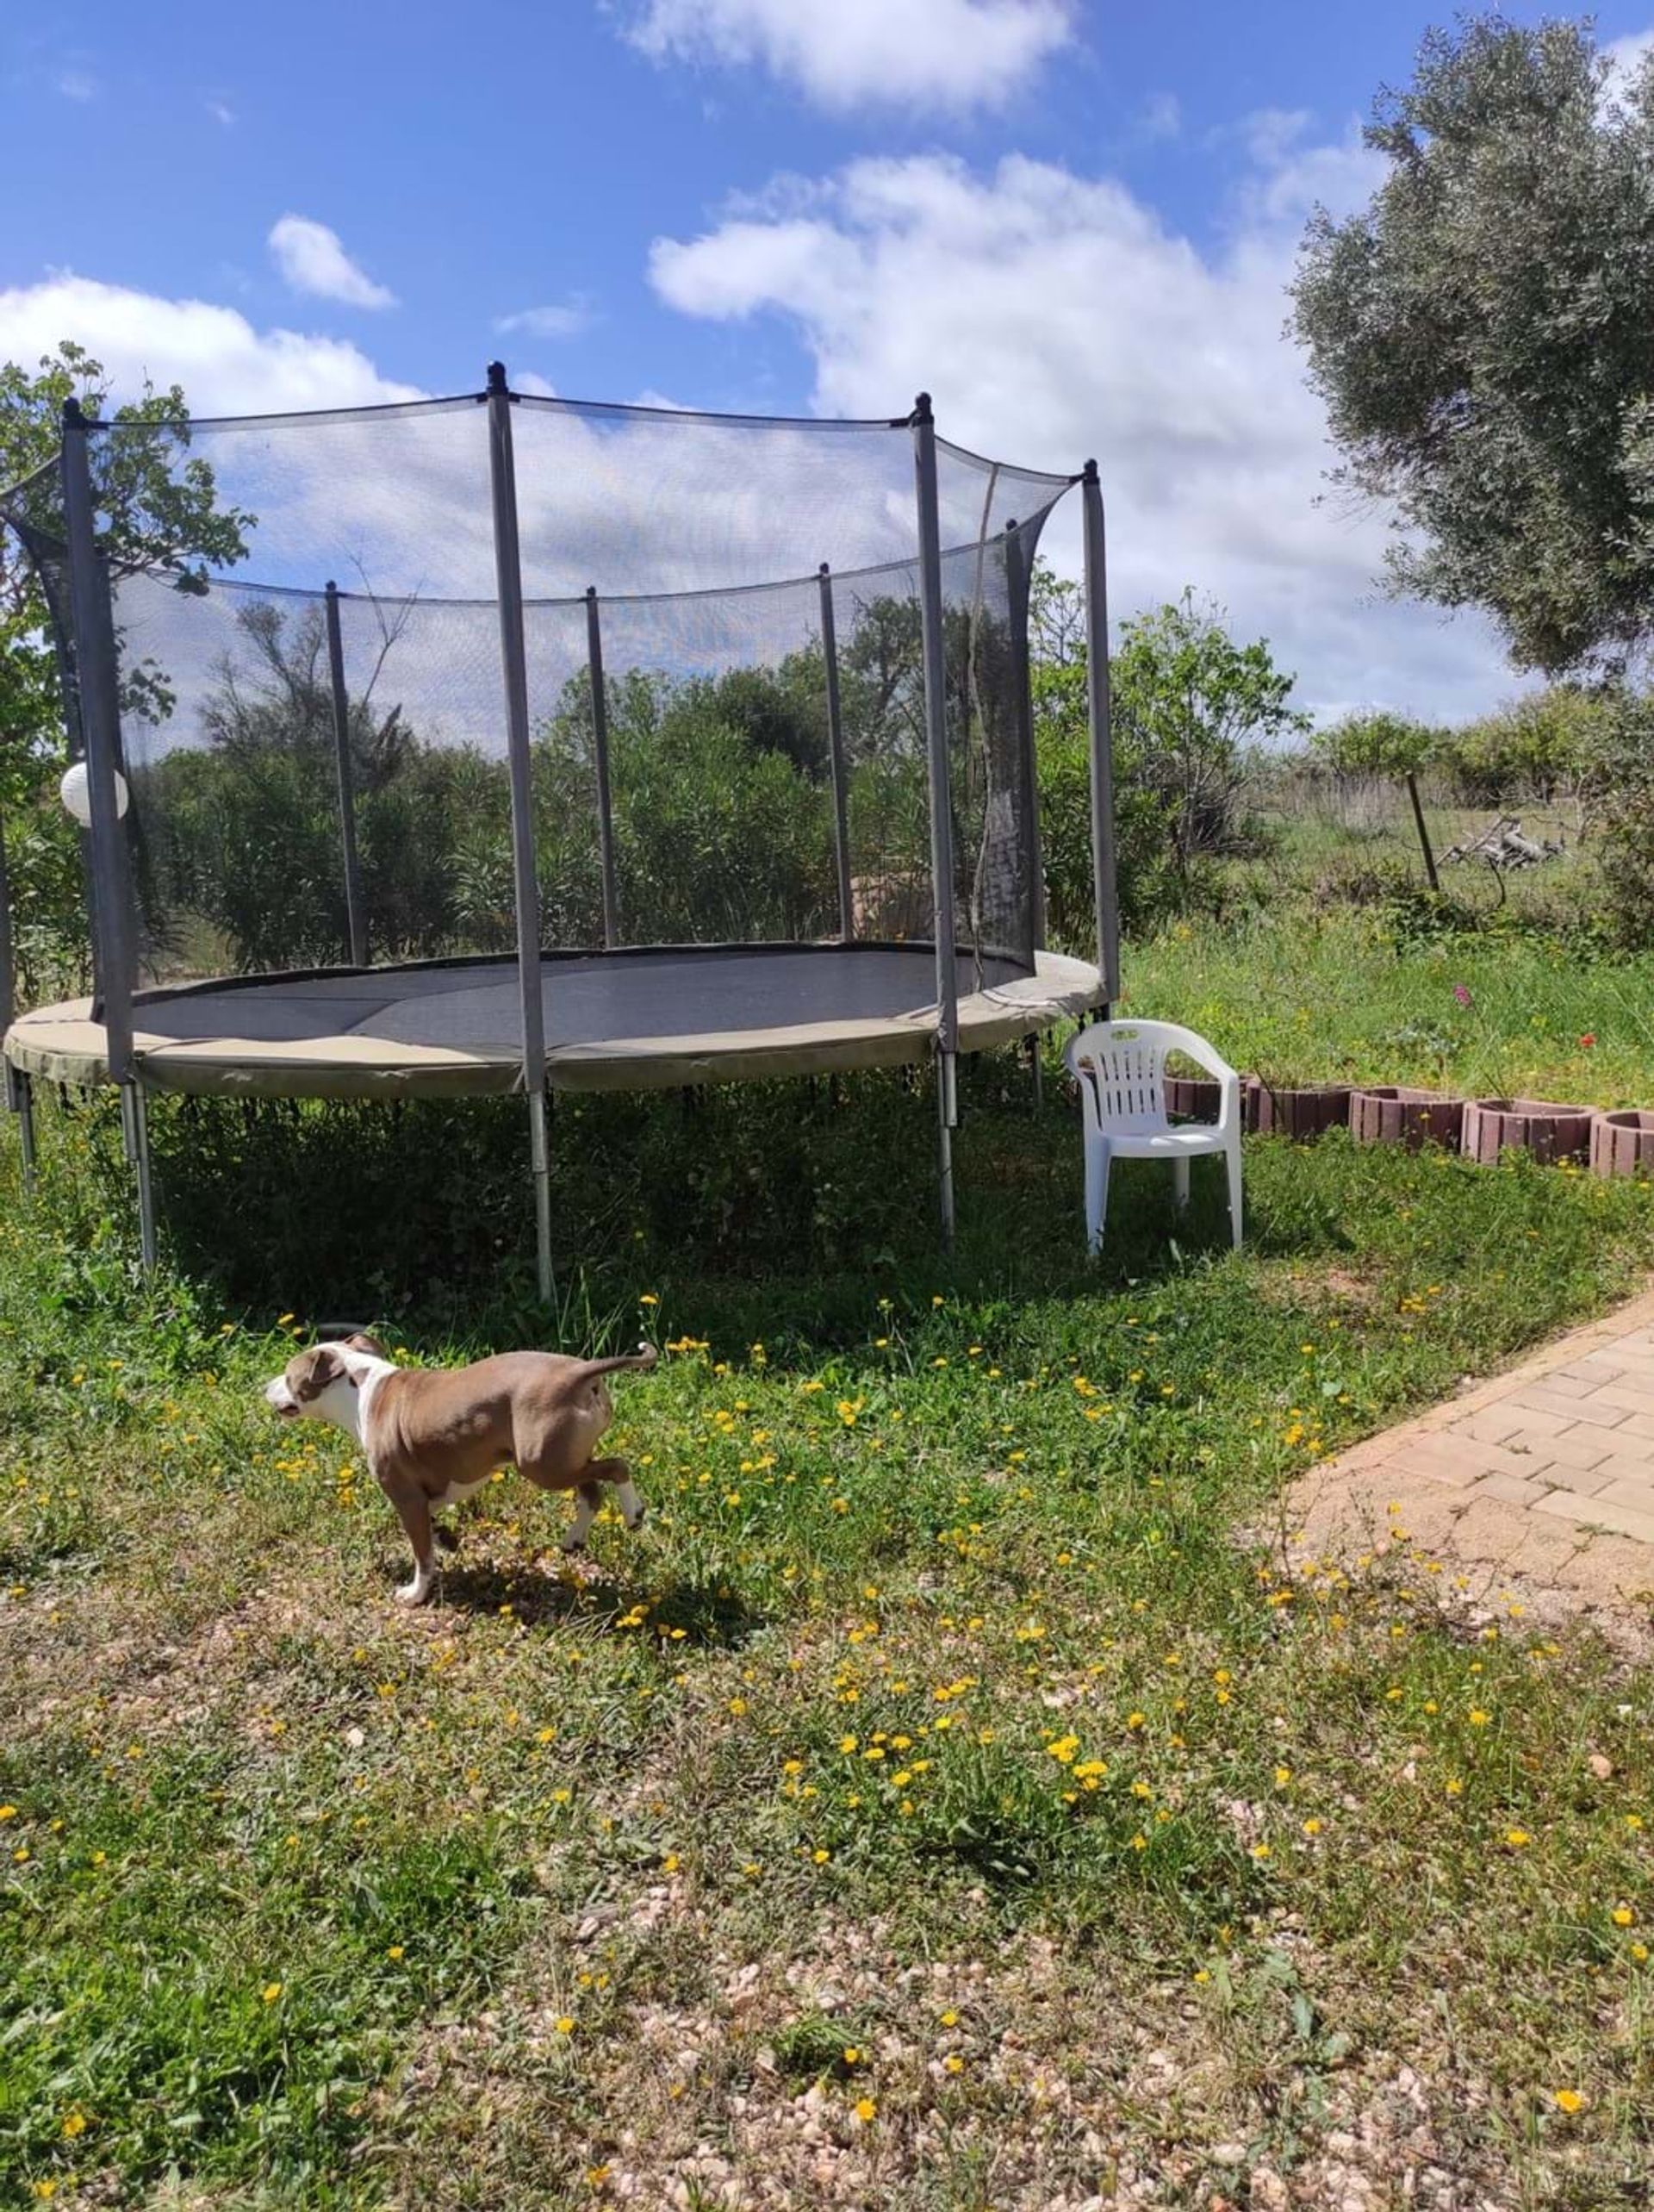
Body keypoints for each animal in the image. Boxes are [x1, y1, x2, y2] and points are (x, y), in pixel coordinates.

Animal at [262, 1327, 654, 1610]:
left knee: (616, 1468)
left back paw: (633, 1513)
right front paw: (447, 1538)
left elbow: (422, 1553)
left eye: (288, 1375)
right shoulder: (422, 1495)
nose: (265, 1386)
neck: (360, 1386)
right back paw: (575, 1538)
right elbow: (431, 1525)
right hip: (564, 1458)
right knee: (592, 1490)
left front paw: (415, 1593)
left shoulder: (405, 1496)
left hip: (542, 1464)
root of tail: (579, 1371)